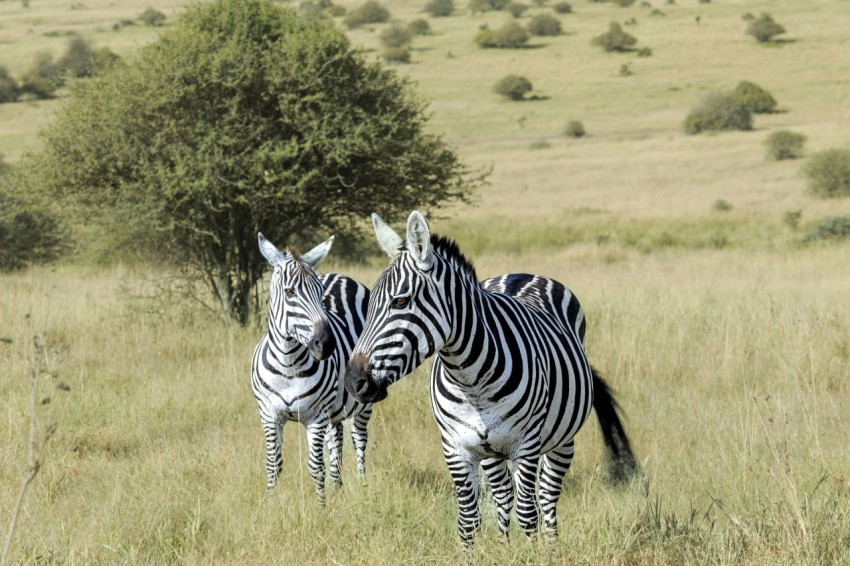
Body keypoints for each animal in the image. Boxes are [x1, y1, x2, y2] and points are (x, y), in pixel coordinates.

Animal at [252, 233, 372, 505]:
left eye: (320, 294)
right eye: (289, 292)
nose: (326, 344)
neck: (288, 365)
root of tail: (341, 276)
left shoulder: (315, 416)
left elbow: (316, 467)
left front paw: (321, 507)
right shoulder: (269, 413)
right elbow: (273, 463)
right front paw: (271, 503)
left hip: (363, 400)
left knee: (358, 441)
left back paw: (362, 488)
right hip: (334, 408)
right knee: (336, 440)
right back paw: (338, 488)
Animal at [345, 211, 638, 543]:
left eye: (400, 302)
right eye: (369, 304)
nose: (354, 382)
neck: (470, 381)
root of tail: (520, 273)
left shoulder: (526, 444)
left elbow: (528, 514)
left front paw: (533, 552)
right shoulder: (456, 447)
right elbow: (468, 519)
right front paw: (492, 548)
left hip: (560, 440)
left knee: (546, 496)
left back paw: (551, 545)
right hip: (492, 451)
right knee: (503, 495)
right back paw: (503, 542)